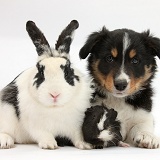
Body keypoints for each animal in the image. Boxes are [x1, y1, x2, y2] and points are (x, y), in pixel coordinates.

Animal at [0, 20, 93, 150]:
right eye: (40, 73)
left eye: (67, 72)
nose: (54, 94)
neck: (55, 108)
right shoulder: (37, 126)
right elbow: (44, 135)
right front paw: (50, 145)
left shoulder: (76, 124)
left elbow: (78, 136)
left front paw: (86, 145)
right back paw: (6, 142)